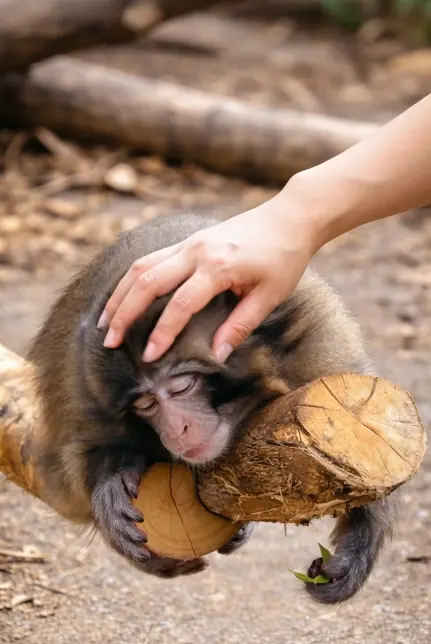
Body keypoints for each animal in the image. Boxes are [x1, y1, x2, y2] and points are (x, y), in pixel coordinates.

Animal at [28, 211, 396, 603]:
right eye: (146, 403)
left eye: (182, 385)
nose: (177, 430)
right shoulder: (84, 384)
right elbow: (84, 450)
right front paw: (112, 481)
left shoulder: (316, 352)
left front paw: (359, 540)